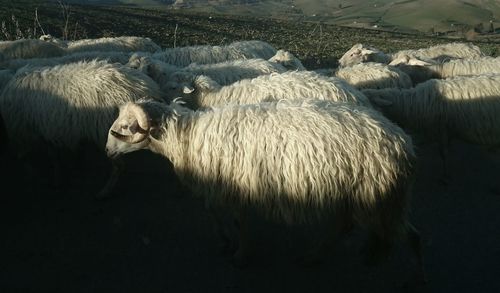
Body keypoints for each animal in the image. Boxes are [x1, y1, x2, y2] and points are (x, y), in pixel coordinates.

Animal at [0, 59, 162, 196]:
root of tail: (146, 86)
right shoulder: (46, 131)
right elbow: (54, 157)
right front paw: (60, 177)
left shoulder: (26, 131)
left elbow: (26, 158)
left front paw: (40, 178)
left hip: (108, 134)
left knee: (119, 166)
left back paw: (104, 192)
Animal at [106, 97, 426, 278]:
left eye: (124, 127)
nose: (107, 151)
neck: (189, 137)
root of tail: (405, 143)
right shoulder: (223, 184)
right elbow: (214, 212)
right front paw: (225, 241)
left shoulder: (235, 185)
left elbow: (238, 221)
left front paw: (240, 255)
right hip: (367, 196)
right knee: (353, 228)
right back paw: (313, 257)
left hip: (375, 195)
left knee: (404, 234)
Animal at [362, 73, 500, 182]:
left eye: (369, 100)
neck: (413, 103)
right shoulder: (446, 129)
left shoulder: (441, 128)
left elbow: (443, 153)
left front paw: (445, 175)